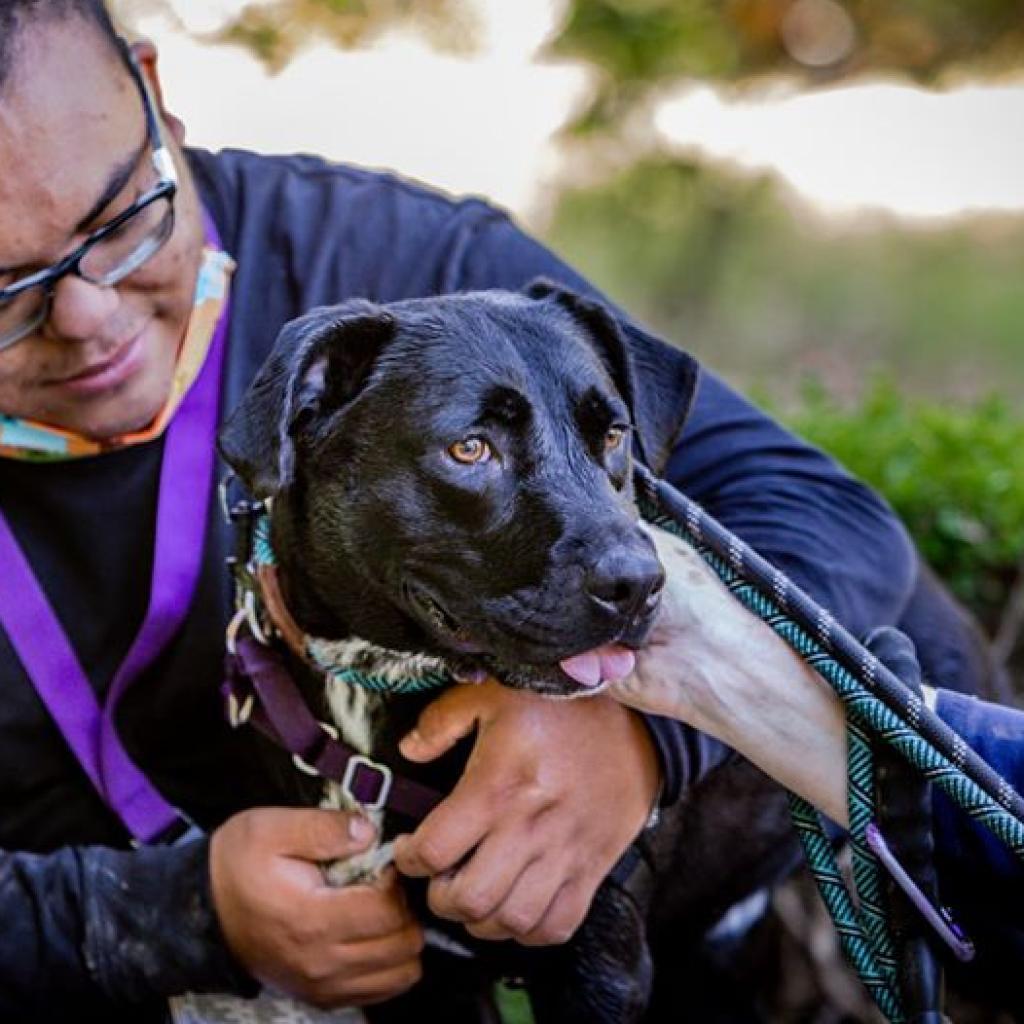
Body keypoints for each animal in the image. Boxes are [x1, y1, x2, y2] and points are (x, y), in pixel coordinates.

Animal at [218, 282, 798, 1024]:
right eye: (470, 449)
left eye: (613, 436)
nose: (641, 584)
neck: (378, 679)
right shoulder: (416, 974)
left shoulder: (603, 970)